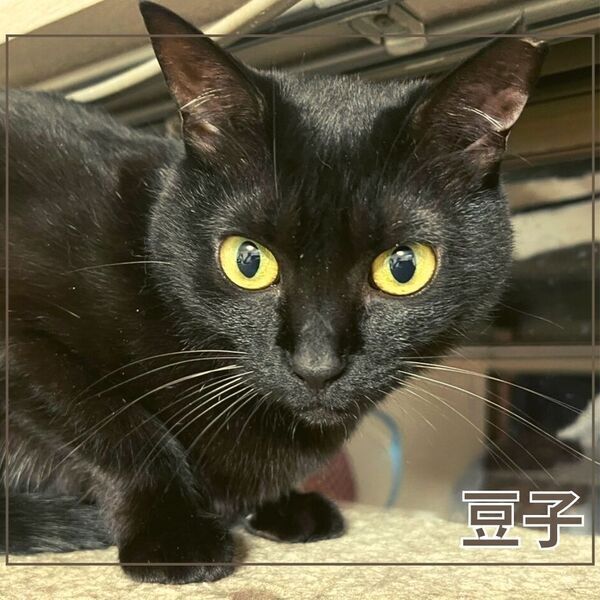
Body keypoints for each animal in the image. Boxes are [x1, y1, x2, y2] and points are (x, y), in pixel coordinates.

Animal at [0, 1, 546, 584]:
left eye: (404, 267)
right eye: (248, 261)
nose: (317, 364)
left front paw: (282, 505)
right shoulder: (21, 344)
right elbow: (124, 430)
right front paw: (177, 538)